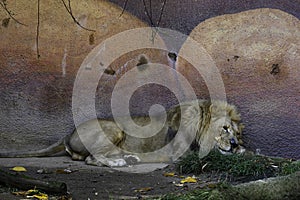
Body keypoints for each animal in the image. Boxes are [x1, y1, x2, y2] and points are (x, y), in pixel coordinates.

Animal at [0, 99, 245, 167]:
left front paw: (241, 150)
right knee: (92, 158)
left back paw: (129, 158)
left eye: (236, 132)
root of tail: (68, 134)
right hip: (114, 129)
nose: (233, 143)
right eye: (224, 128)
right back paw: (121, 162)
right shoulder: (180, 153)